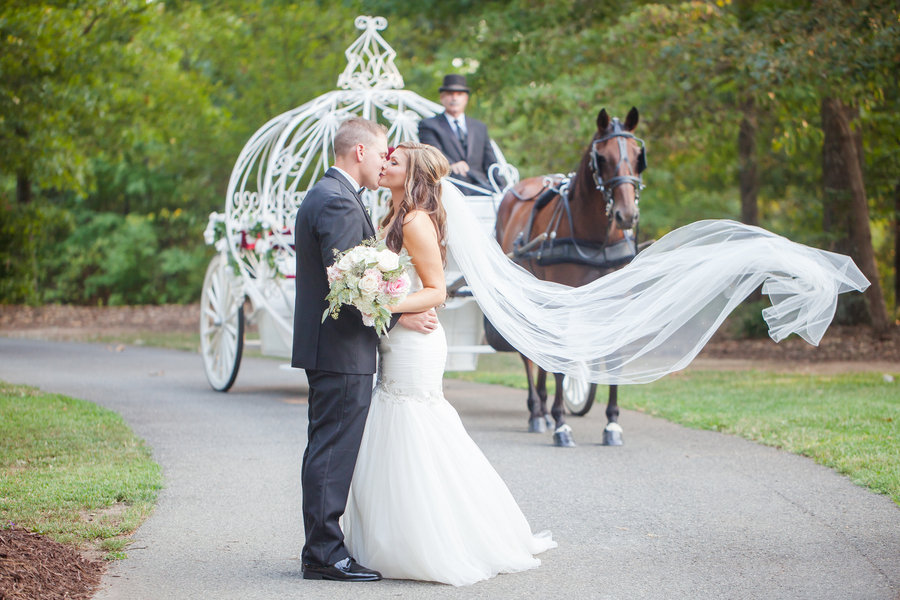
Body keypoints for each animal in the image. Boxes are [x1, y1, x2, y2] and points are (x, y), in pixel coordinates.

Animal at [488, 106, 644, 446]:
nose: (627, 215)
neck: (596, 239)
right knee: (529, 351)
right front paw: (562, 425)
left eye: (638, 155)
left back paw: (544, 410)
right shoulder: (563, 296)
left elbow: (612, 355)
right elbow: (560, 358)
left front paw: (612, 424)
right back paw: (538, 412)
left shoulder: (616, 299)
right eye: (603, 158)